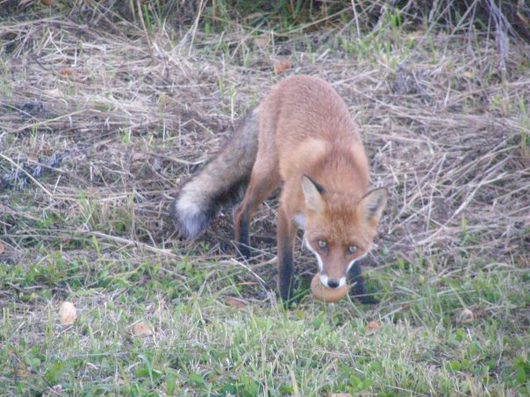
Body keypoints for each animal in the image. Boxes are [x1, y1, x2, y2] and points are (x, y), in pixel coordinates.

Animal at [171, 76, 386, 302]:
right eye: (322, 244)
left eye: (352, 248)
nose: (333, 284)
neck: (336, 172)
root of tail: (292, 79)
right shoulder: (286, 211)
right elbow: (286, 261)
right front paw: (286, 298)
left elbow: (356, 267)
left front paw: (363, 295)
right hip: (267, 173)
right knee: (240, 211)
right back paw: (244, 254)